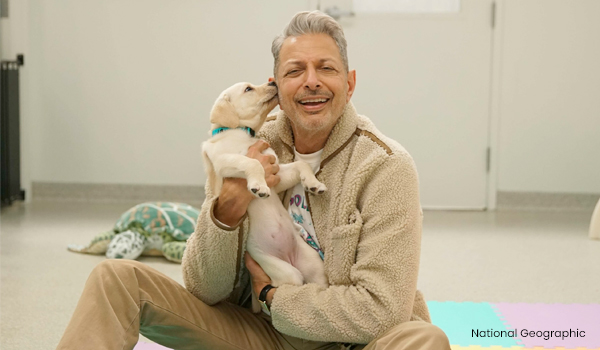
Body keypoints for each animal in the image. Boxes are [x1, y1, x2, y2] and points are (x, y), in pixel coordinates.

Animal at [204, 82, 330, 312]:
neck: (241, 133)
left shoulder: (276, 174)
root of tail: (289, 258)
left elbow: (301, 164)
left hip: (314, 265)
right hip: (284, 270)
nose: (272, 82)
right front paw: (258, 186)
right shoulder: (225, 161)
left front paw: (313, 184)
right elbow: (252, 162)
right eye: (248, 89)